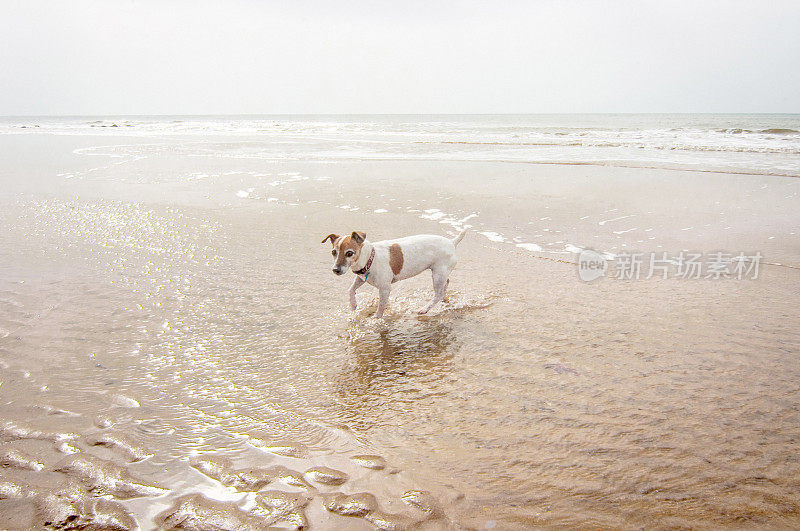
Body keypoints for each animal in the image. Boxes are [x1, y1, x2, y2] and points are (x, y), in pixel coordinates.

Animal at [322, 230, 466, 320]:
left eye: (349, 253)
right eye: (333, 252)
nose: (335, 270)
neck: (370, 258)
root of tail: (452, 242)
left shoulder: (385, 289)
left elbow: (381, 306)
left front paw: (376, 318)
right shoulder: (361, 278)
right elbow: (351, 289)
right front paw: (353, 305)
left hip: (437, 275)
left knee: (438, 294)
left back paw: (424, 308)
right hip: (441, 274)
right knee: (446, 284)